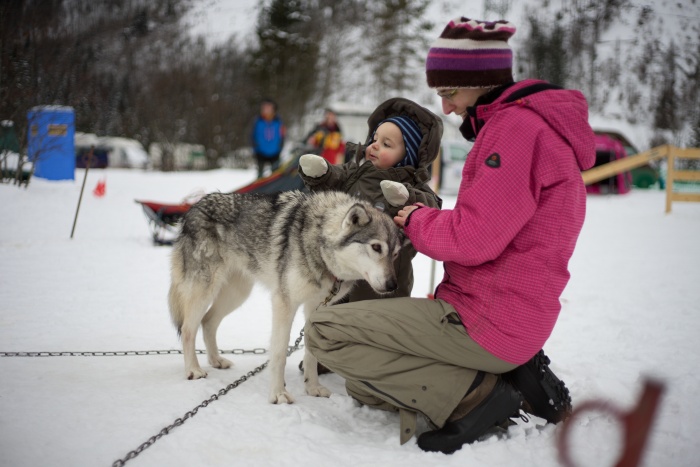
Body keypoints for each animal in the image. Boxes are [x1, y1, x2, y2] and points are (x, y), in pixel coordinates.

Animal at [169, 188, 404, 404]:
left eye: (395, 254)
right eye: (376, 247)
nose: (392, 285)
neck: (318, 240)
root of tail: (194, 207)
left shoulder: (317, 309)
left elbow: (311, 354)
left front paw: (313, 388)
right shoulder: (285, 303)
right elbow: (280, 352)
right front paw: (278, 394)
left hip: (238, 294)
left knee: (208, 322)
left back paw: (216, 360)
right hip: (205, 291)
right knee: (188, 329)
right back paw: (194, 370)